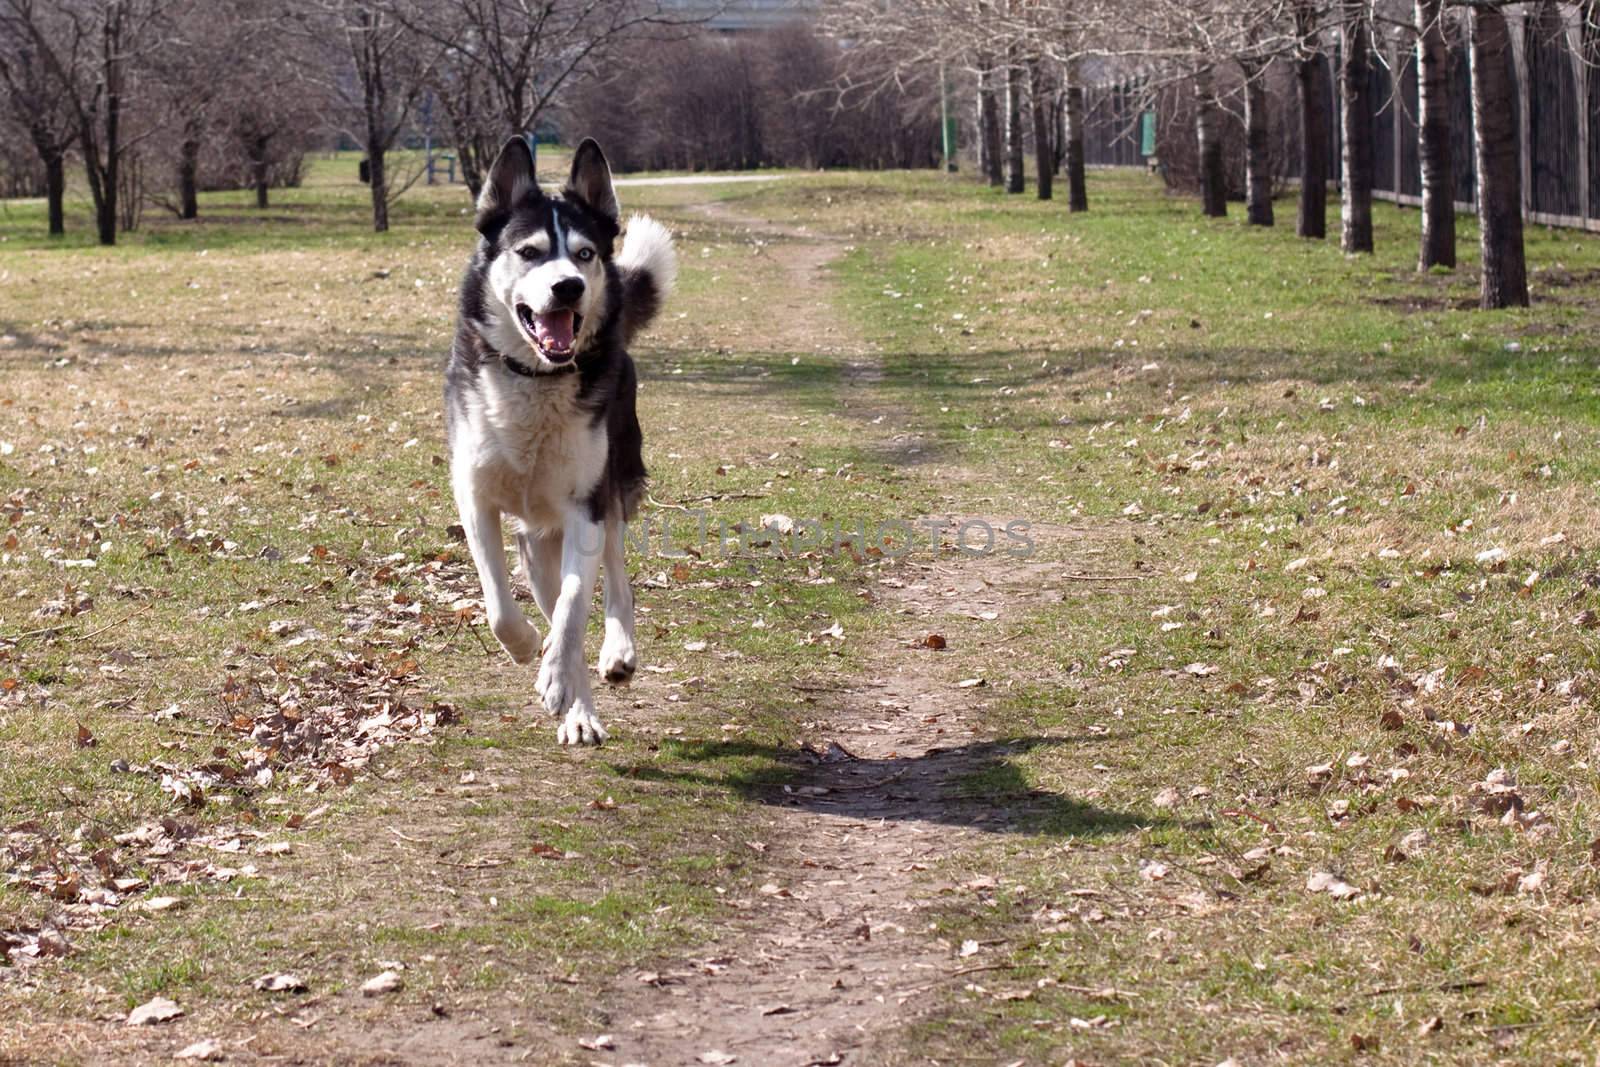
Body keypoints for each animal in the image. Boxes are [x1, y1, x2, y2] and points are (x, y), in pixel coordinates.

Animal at [444, 139, 675, 742]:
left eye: (585, 253)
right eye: (529, 252)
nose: (568, 285)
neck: (537, 381)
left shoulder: (584, 509)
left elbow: (575, 609)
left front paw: (555, 672)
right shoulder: (475, 499)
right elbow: (501, 605)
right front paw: (527, 645)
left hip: (614, 490)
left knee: (614, 584)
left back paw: (612, 658)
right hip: (537, 540)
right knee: (553, 603)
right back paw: (575, 703)